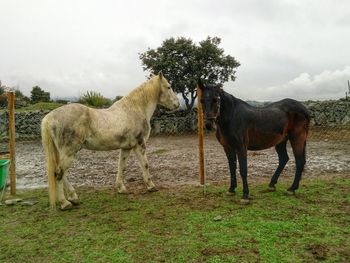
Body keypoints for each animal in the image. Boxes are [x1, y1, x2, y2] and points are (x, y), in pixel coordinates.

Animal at [41, 73, 179, 211]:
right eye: (168, 86)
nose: (177, 104)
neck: (135, 109)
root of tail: (50, 117)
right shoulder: (140, 144)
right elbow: (145, 165)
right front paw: (151, 186)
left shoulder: (127, 148)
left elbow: (122, 166)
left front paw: (121, 188)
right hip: (69, 152)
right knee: (59, 174)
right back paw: (65, 203)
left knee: (61, 174)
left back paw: (73, 198)